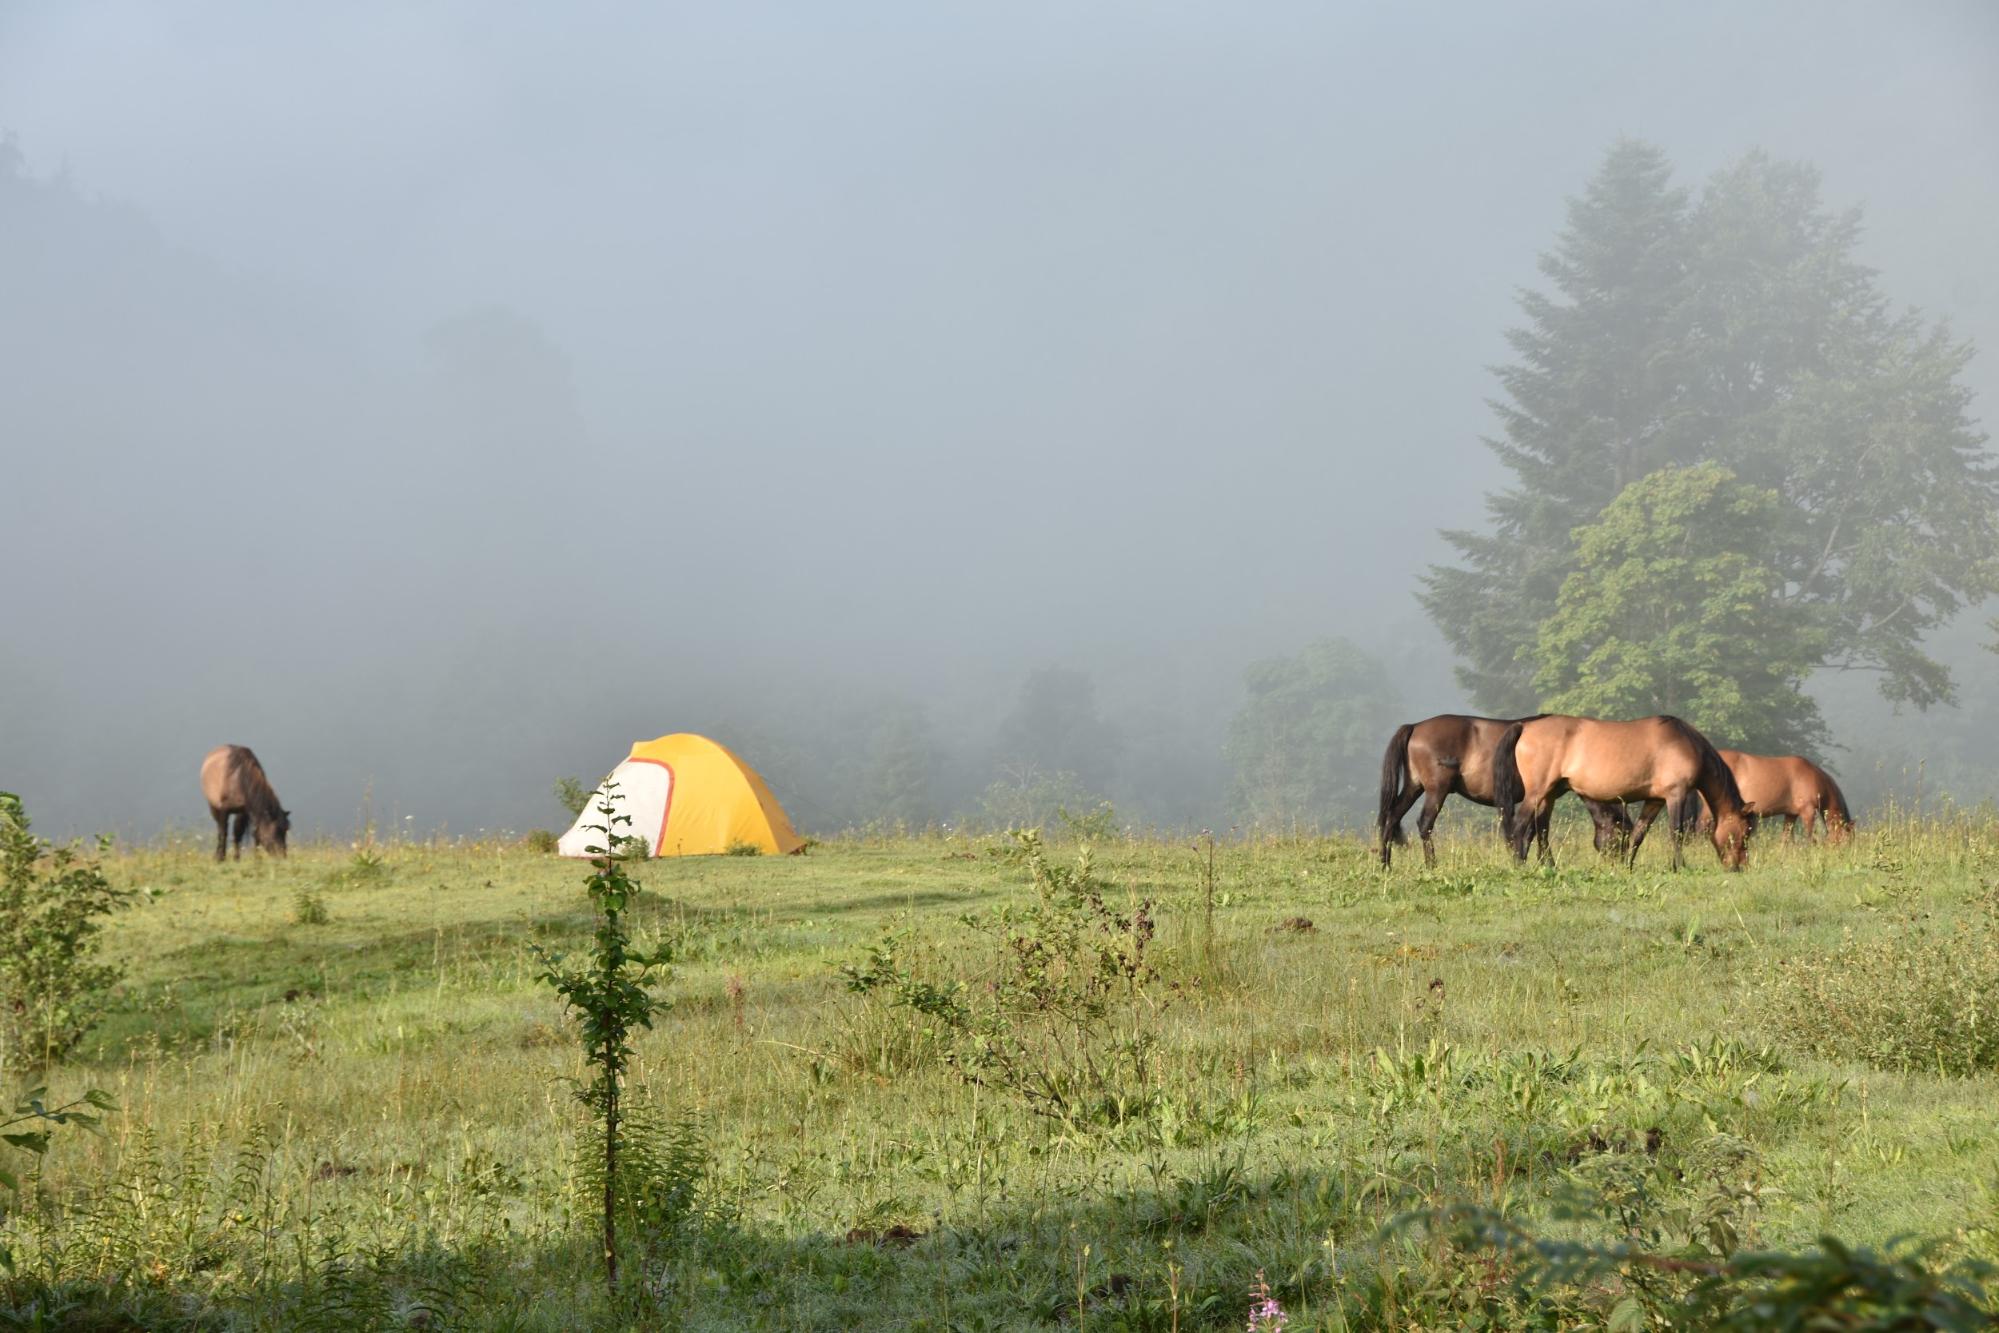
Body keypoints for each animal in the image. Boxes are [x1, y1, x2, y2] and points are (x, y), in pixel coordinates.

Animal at [199, 739, 289, 867]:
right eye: (276, 831)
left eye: (286, 830)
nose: (282, 856)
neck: (239, 778)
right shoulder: (224, 810)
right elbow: (223, 833)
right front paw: (221, 858)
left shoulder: (244, 811)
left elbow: (242, 833)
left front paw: (245, 859)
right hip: (213, 807)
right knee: (220, 830)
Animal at [1487, 715, 1751, 871]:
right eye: (1743, 834)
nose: (1739, 867)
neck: (1684, 743)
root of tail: (1524, 726)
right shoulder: (1676, 794)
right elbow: (1676, 832)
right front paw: (1680, 867)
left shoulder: (1655, 800)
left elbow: (1638, 835)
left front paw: (1627, 865)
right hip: (1537, 793)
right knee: (1519, 828)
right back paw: (1519, 865)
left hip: (1549, 794)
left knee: (1540, 829)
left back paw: (1550, 867)